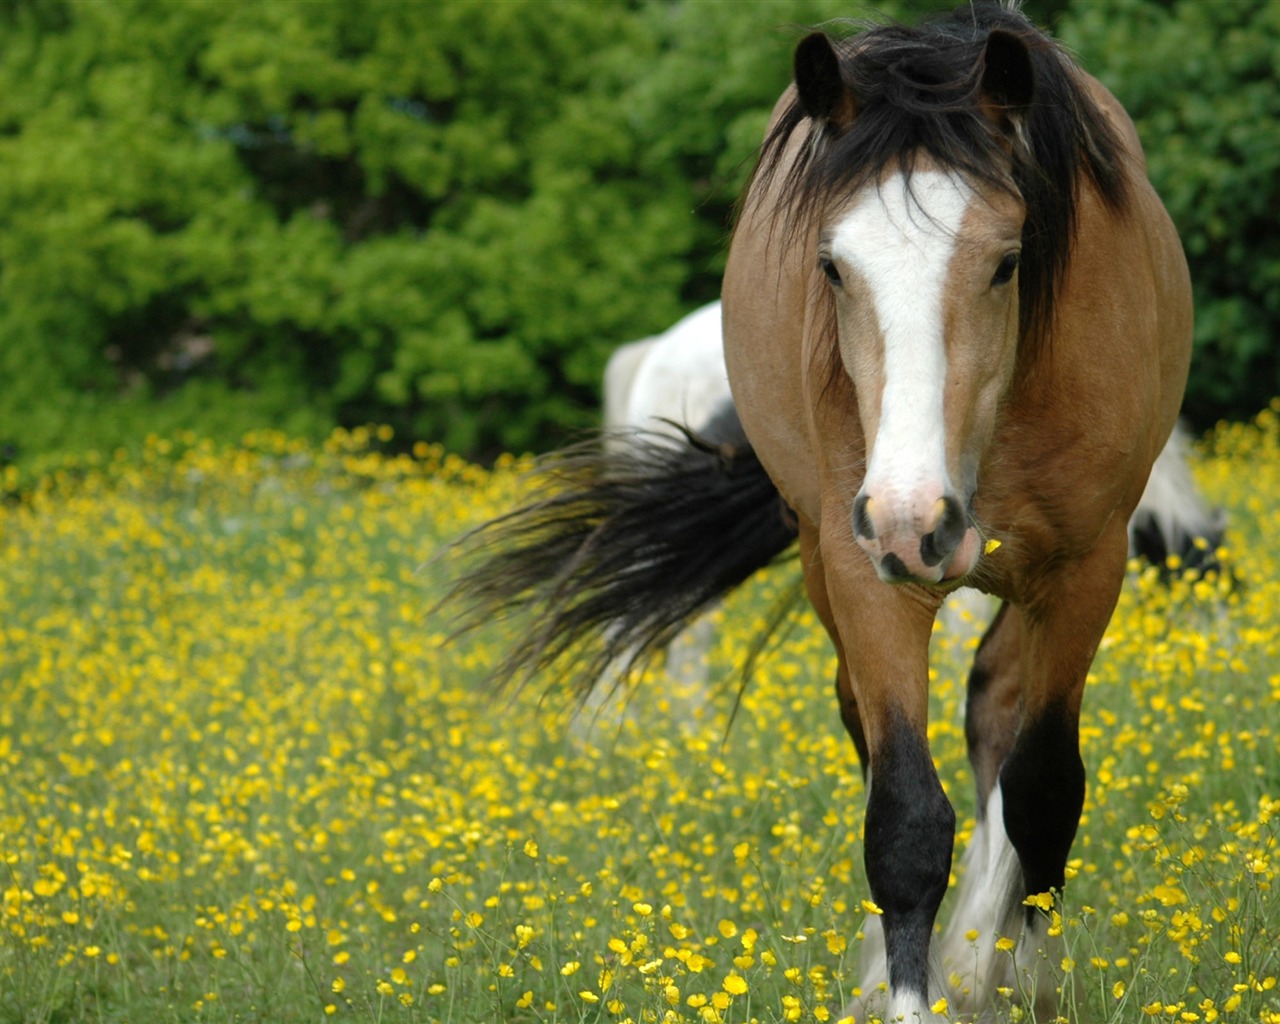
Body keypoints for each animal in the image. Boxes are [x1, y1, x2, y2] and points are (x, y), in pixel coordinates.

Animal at [450, 6, 1187, 1013]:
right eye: (833, 268)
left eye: (1008, 262)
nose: (918, 519)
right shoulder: (866, 569)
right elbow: (903, 818)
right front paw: (907, 995)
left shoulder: (1084, 570)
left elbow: (1042, 789)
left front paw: (1026, 984)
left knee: (996, 717)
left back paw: (980, 960)